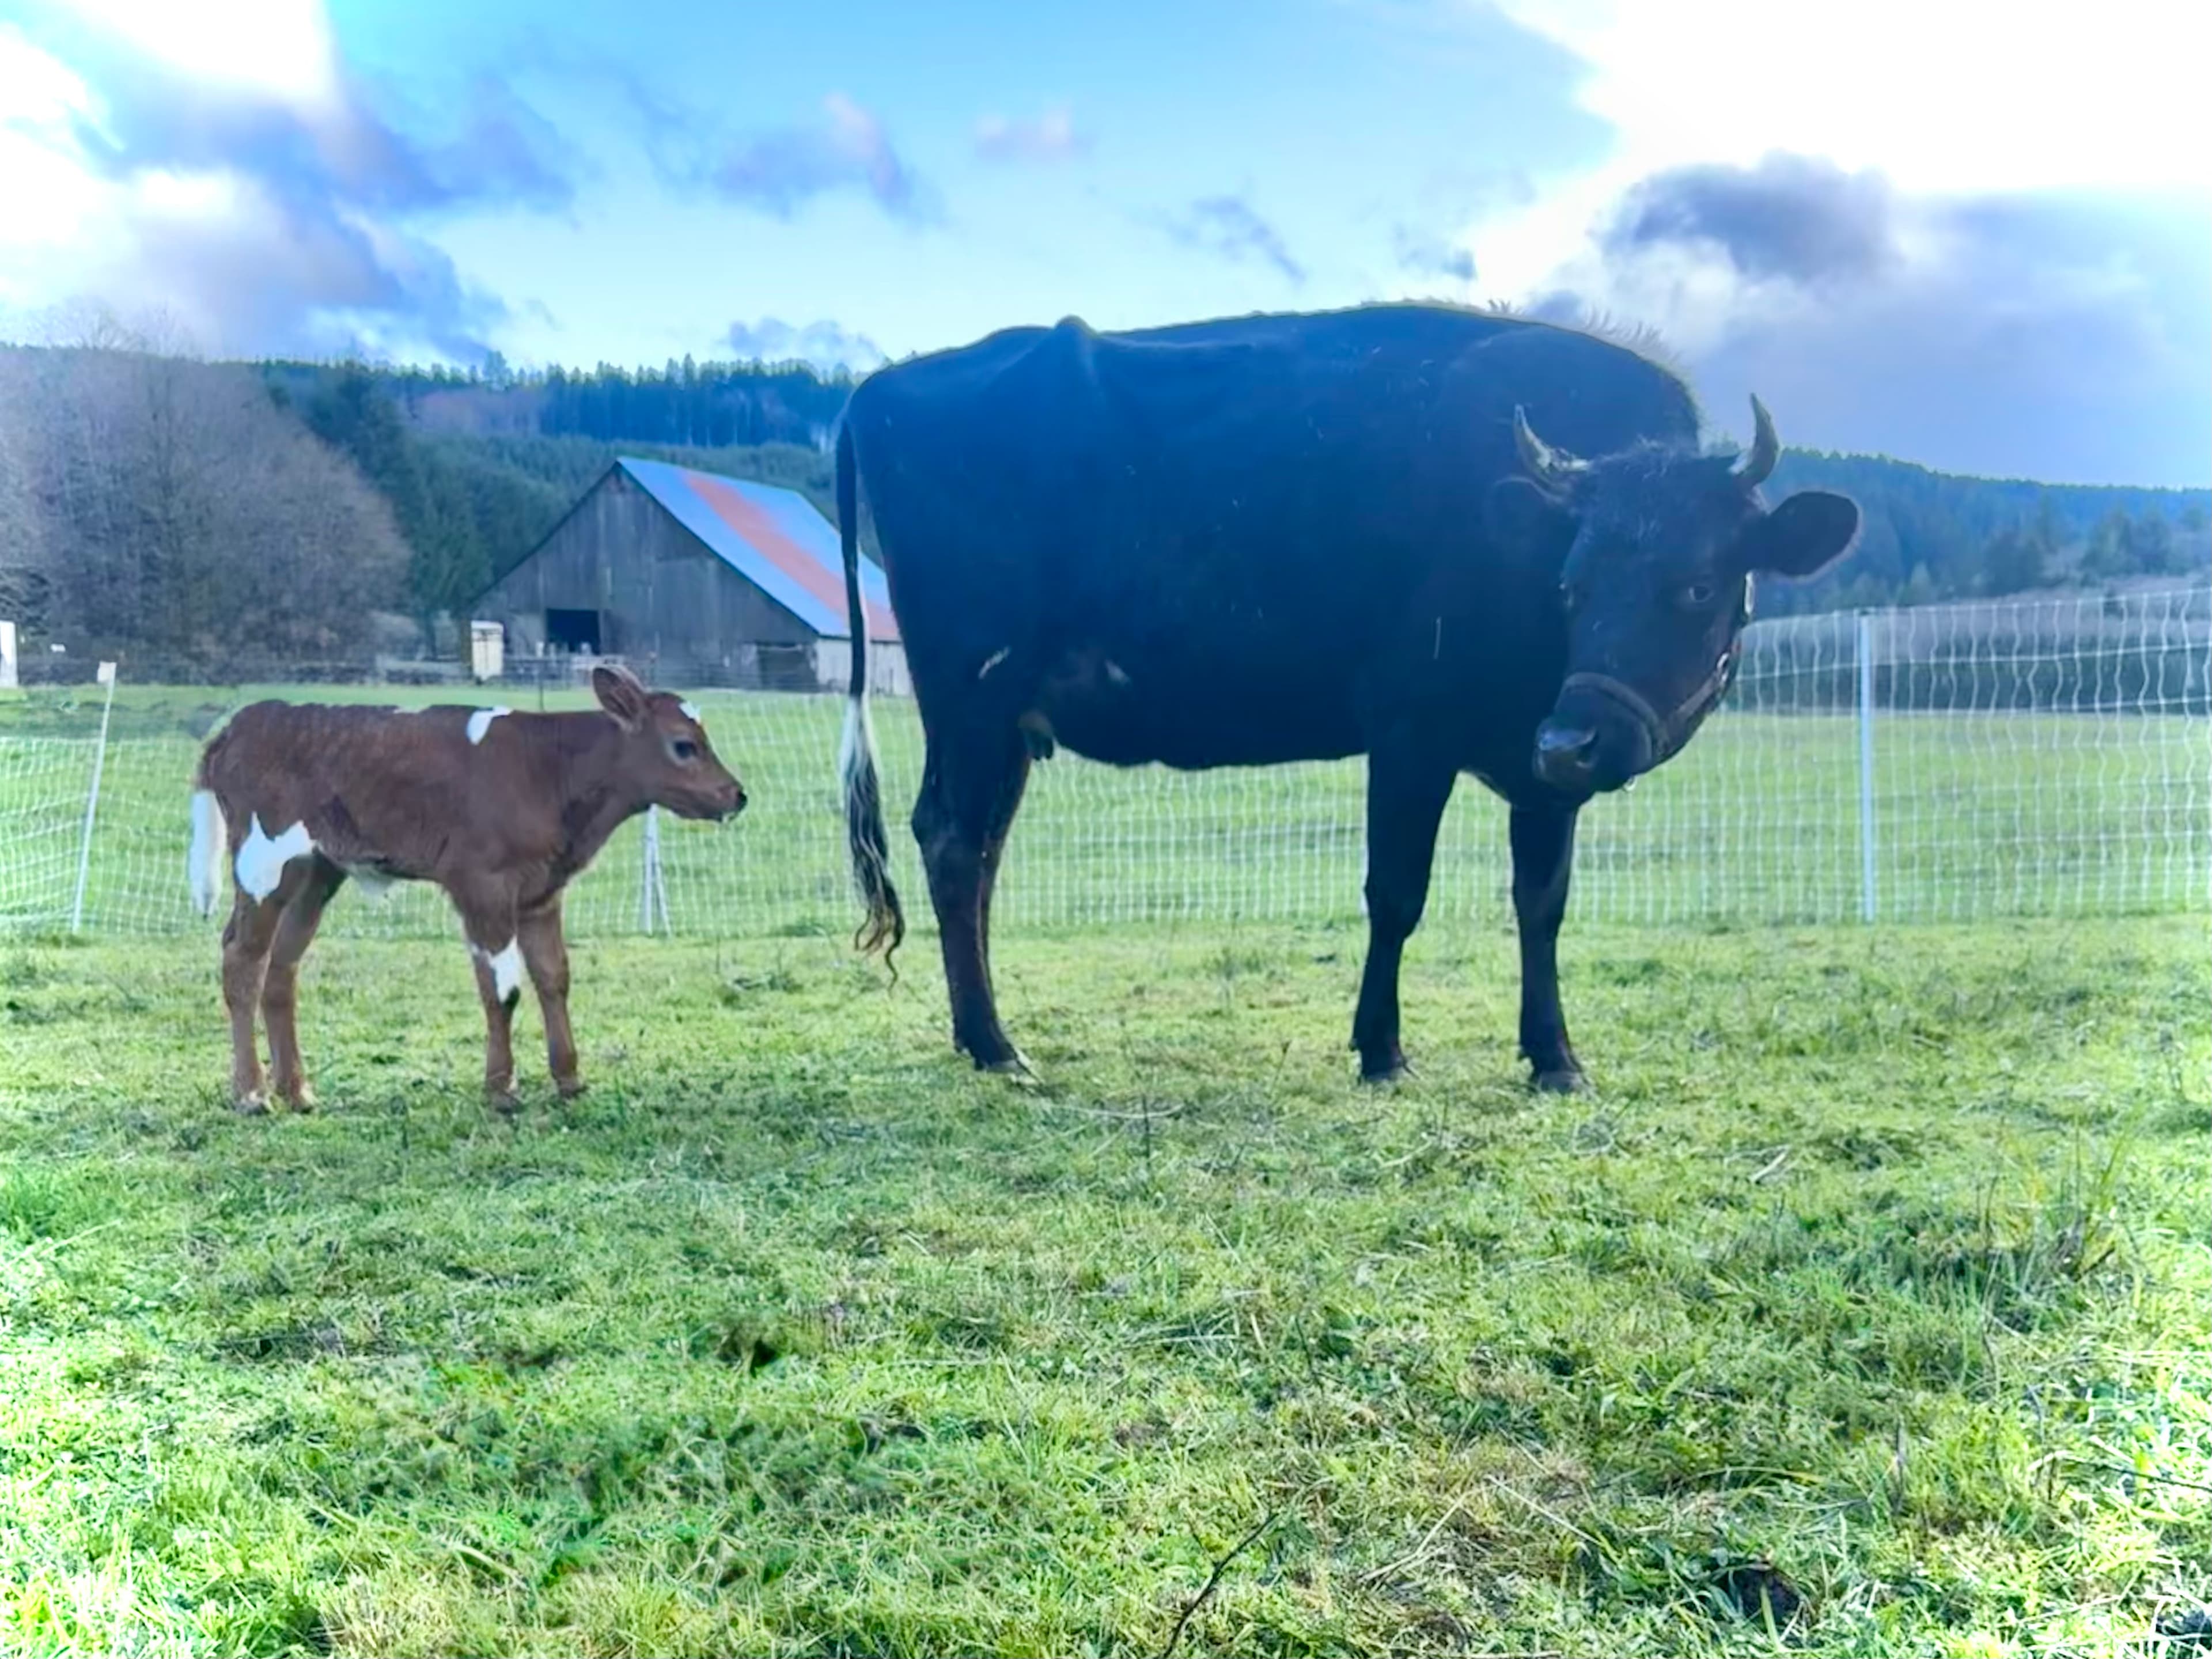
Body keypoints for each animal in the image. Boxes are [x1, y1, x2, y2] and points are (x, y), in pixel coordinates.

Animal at [186, 663, 745, 1112]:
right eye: (684, 746)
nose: (736, 795)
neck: (551, 768)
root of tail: (243, 723)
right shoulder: (483, 889)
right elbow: (503, 989)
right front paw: (501, 1088)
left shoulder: (541, 895)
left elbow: (553, 978)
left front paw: (568, 1078)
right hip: (264, 867)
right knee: (243, 961)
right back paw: (251, 1093)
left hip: (314, 873)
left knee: (282, 969)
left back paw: (296, 1091)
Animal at [831, 302, 1861, 1090]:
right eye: (1572, 584)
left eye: (1696, 585)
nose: (1577, 740)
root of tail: (880, 388)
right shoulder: (1409, 729)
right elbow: (1396, 894)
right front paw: (1382, 1050)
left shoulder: (1537, 771)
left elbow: (1542, 903)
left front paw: (1555, 1057)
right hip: (970, 694)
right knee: (953, 841)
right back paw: (996, 1046)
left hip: (1007, 720)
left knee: (977, 850)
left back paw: (980, 1035)